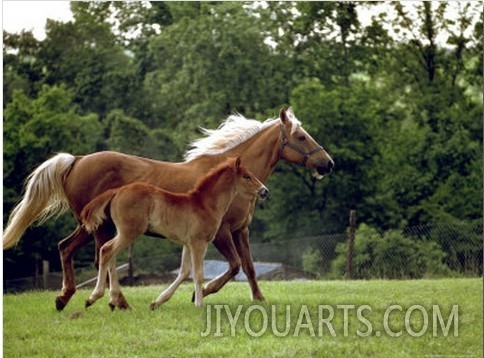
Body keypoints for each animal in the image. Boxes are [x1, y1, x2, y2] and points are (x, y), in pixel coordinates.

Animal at [2, 107, 332, 310]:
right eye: (301, 136)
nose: (327, 163)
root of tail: (77, 160)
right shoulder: (221, 233)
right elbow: (233, 266)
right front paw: (201, 293)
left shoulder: (241, 230)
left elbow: (249, 267)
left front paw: (259, 298)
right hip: (100, 227)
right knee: (100, 256)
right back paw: (113, 300)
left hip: (90, 225)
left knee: (67, 248)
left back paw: (66, 297)